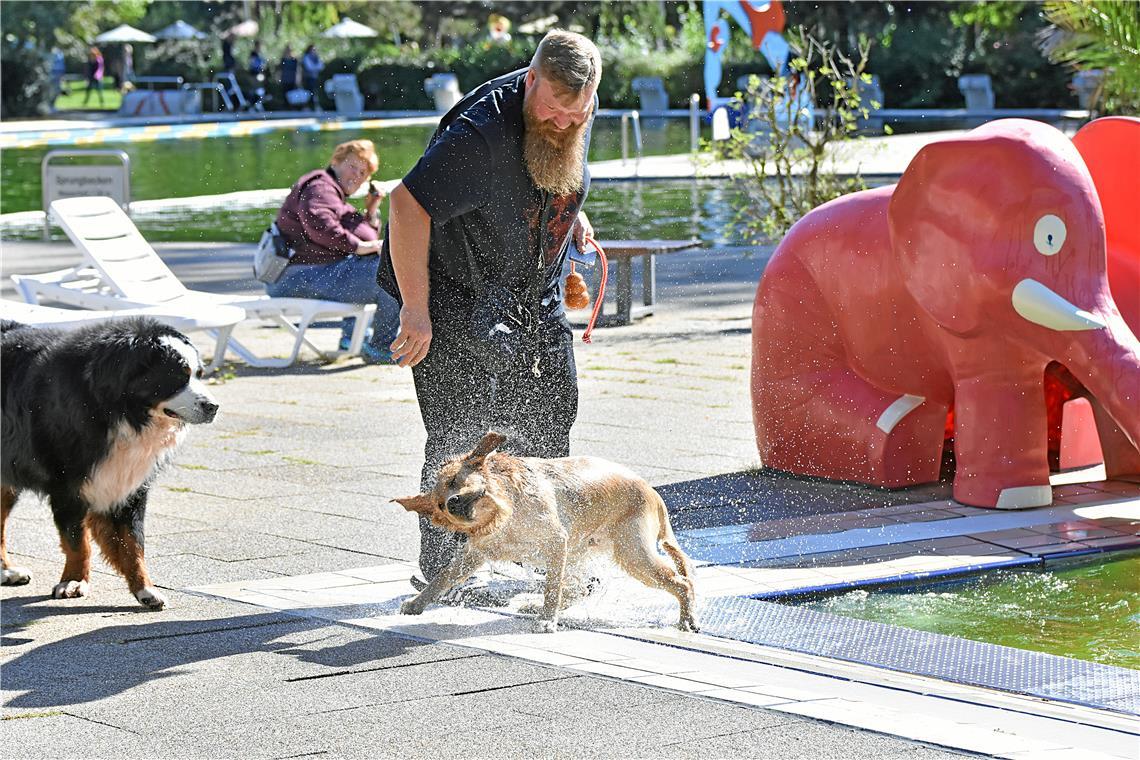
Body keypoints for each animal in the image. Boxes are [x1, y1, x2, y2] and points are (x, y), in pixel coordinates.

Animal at [1, 319, 217, 610]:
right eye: (177, 376)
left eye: (199, 374)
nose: (213, 406)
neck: (116, 410)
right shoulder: (68, 487)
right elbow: (78, 542)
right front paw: (73, 581)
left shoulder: (126, 486)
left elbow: (133, 545)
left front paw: (145, 590)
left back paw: (7, 571)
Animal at [396, 430, 697, 633]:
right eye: (438, 504)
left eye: (455, 481)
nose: (452, 503)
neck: (505, 514)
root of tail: (653, 492)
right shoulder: (474, 553)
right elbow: (442, 578)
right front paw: (416, 603)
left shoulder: (556, 542)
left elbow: (552, 588)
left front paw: (546, 621)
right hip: (585, 552)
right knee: (582, 587)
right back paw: (533, 605)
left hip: (632, 554)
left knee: (683, 582)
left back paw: (687, 620)